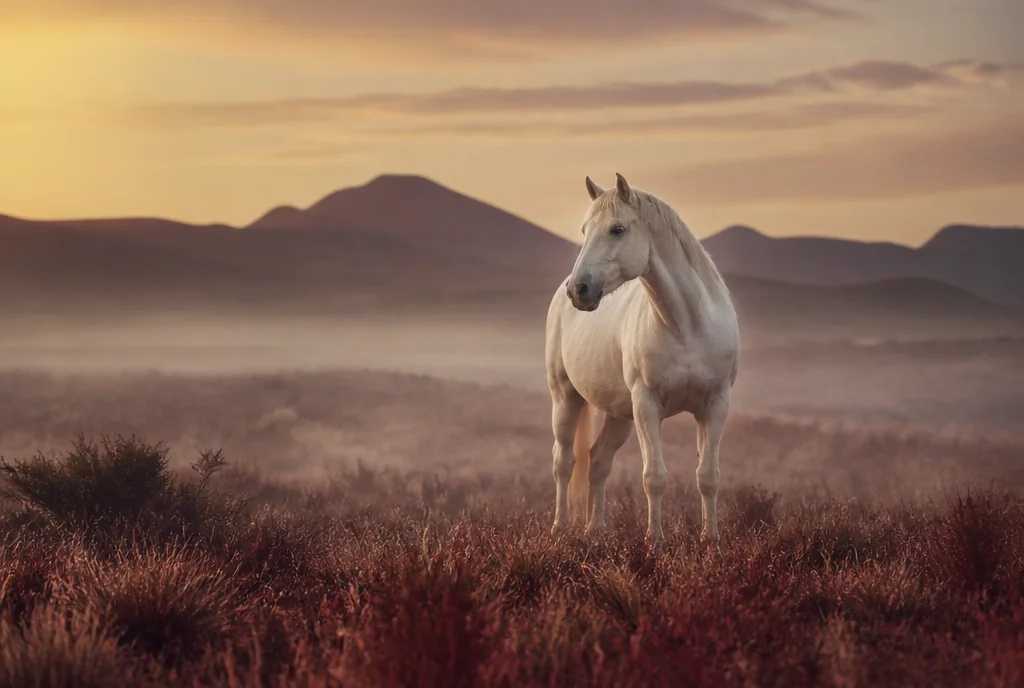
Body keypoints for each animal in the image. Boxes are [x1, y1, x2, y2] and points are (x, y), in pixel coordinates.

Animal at [545, 173, 739, 544]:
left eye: (617, 229)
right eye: (584, 230)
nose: (579, 290)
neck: (687, 326)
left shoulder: (715, 404)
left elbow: (708, 476)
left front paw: (711, 540)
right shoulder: (647, 405)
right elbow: (654, 477)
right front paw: (655, 540)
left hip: (619, 413)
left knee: (598, 461)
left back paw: (596, 530)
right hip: (566, 397)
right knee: (563, 462)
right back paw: (560, 528)